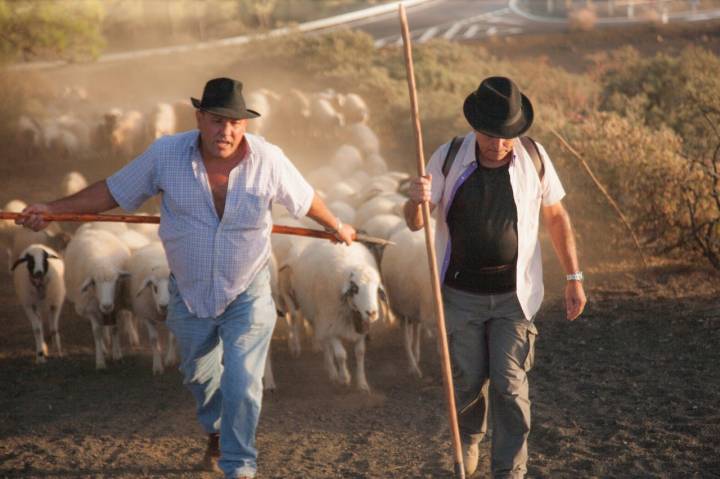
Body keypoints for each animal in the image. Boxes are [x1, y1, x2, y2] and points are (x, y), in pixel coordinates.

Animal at [64, 229, 131, 372]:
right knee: (99, 329)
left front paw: (117, 355)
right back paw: (104, 348)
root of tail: (92, 230)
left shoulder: (116, 306)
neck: (102, 262)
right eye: (94, 282)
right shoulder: (90, 309)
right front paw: (100, 361)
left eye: (116, 280)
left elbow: (115, 328)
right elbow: (97, 332)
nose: (106, 305)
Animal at [124, 244, 174, 376]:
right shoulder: (147, 315)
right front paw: (157, 366)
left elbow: (172, 336)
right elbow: (153, 339)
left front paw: (170, 359)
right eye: (155, 288)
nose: (164, 306)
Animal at [288, 242, 386, 392]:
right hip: (319, 318)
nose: (372, 313)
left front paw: (362, 383)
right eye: (355, 288)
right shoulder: (331, 325)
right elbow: (340, 355)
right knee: (325, 345)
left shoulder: (361, 330)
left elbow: (360, 353)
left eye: (376, 289)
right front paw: (344, 378)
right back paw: (332, 372)